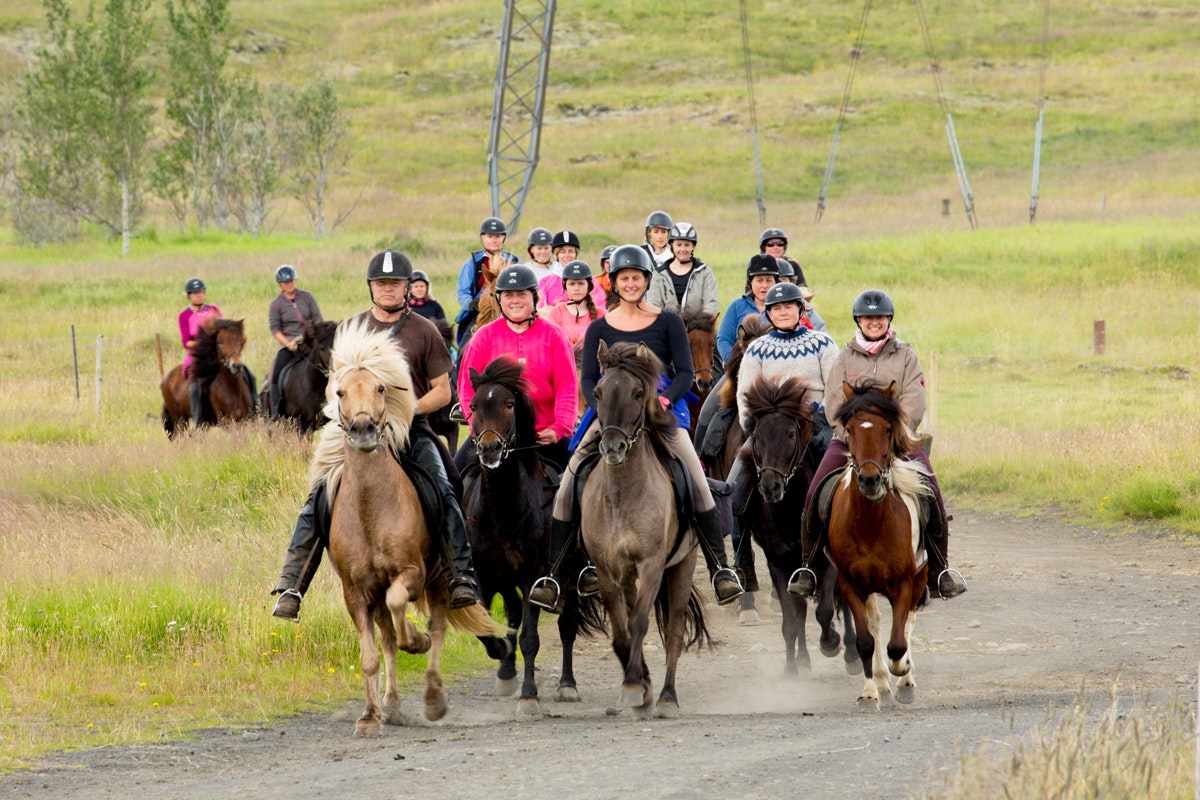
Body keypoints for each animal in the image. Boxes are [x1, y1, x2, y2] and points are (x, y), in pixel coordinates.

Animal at [312, 319, 504, 738]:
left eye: (381, 388)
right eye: (340, 391)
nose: (364, 429)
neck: (370, 509)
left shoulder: (411, 573)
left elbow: (405, 611)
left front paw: (416, 641)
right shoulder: (357, 592)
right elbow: (371, 655)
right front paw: (369, 716)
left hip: (442, 581)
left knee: (439, 627)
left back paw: (432, 698)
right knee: (387, 639)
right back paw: (392, 704)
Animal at [460, 357, 604, 714]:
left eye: (509, 404)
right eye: (474, 405)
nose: (489, 448)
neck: (504, 508)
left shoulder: (534, 578)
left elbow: (530, 638)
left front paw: (528, 695)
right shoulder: (485, 573)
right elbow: (488, 625)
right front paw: (502, 659)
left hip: (570, 577)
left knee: (567, 627)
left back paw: (567, 685)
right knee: (512, 613)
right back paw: (506, 670)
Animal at [576, 340, 705, 719]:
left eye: (637, 393)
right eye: (598, 392)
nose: (612, 447)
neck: (622, 494)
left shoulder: (652, 565)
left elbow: (639, 624)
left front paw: (636, 687)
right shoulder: (607, 571)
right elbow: (621, 633)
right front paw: (637, 684)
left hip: (682, 567)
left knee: (674, 631)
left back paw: (667, 697)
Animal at [734, 379, 859, 681]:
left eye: (791, 433)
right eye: (757, 435)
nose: (771, 486)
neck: (790, 512)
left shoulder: (827, 561)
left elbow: (825, 610)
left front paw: (831, 643)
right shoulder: (779, 564)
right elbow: (792, 620)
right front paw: (791, 668)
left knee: (844, 603)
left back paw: (851, 653)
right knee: (802, 609)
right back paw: (803, 658)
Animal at [830, 381, 931, 714]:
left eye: (887, 429)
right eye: (849, 430)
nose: (870, 480)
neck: (870, 525)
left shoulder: (904, 582)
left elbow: (898, 643)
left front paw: (903, 670)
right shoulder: (850, 584)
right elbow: (865, 642)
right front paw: (869, 694)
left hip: (919, 578)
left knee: (908, 623)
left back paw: (904, 681)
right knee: (875, 626)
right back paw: (882, 686)